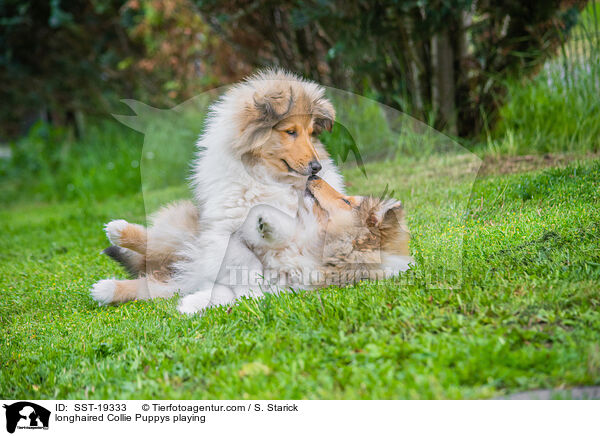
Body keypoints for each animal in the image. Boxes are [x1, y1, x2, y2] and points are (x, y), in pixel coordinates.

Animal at [91, 175, 412, 312]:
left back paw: (105, 290)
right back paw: (117, 230)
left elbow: (232, 295)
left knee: (146, 284)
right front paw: (265, 222)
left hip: (170, 282)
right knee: (156, 241)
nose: (314, 174)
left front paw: (192, 304)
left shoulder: (274, 289)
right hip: (187, 237)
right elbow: (270, 234)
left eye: (346, 201)